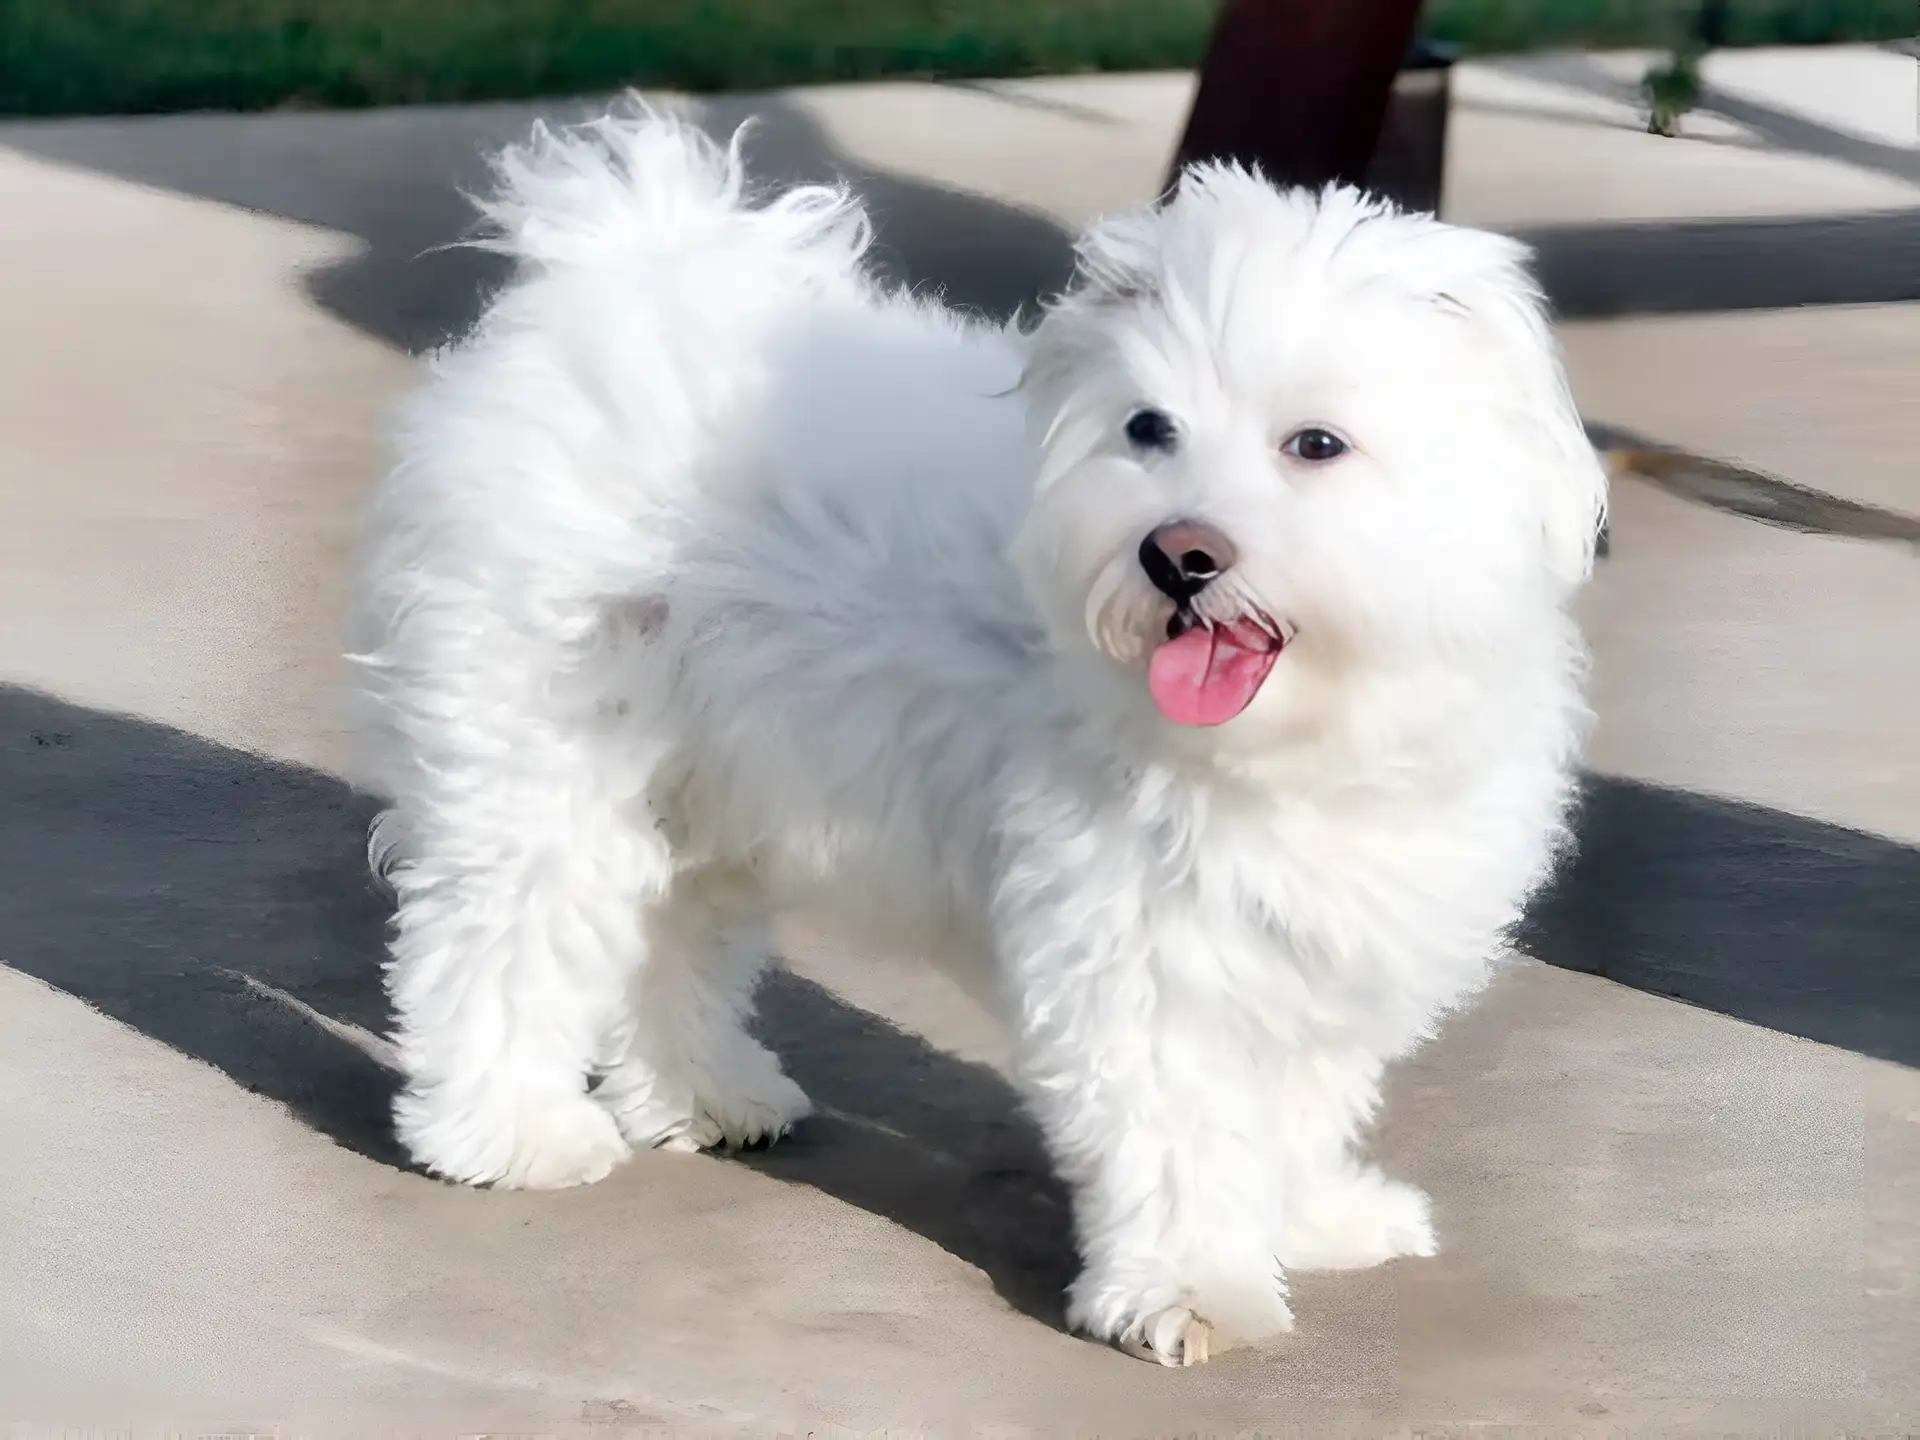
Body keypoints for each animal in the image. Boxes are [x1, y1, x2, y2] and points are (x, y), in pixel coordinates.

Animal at [349, 107, 1605, 1367]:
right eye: (1147, 429)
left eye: (1318, 444)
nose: (1177, 553)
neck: (1297, 733)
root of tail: (622, 266)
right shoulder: (1134, 946)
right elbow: (1180, 1133)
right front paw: (1190, 1288)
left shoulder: (1313, 957)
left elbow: (1296, 1106)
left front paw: (1313, 1219)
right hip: (547, 750)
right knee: (501, 939)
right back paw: (510, 1132)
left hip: (712, 772)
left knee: (671, 936)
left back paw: (703, 1094)